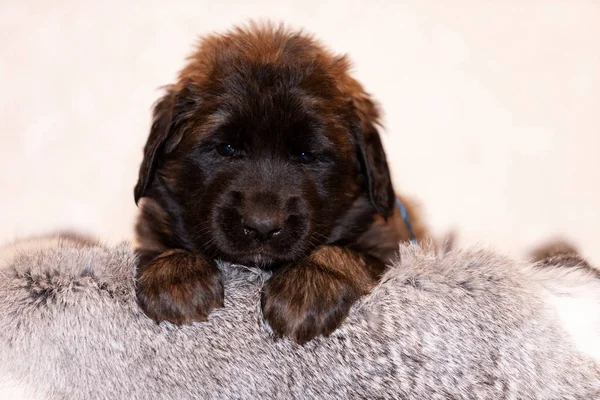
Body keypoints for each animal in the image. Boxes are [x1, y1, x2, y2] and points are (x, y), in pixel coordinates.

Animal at [134, 22, 428, 344]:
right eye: (226, 148)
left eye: (306, 155)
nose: (262, 226)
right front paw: (177, 276)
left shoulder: (392, 252)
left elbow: (344, 253)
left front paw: (306, 289)